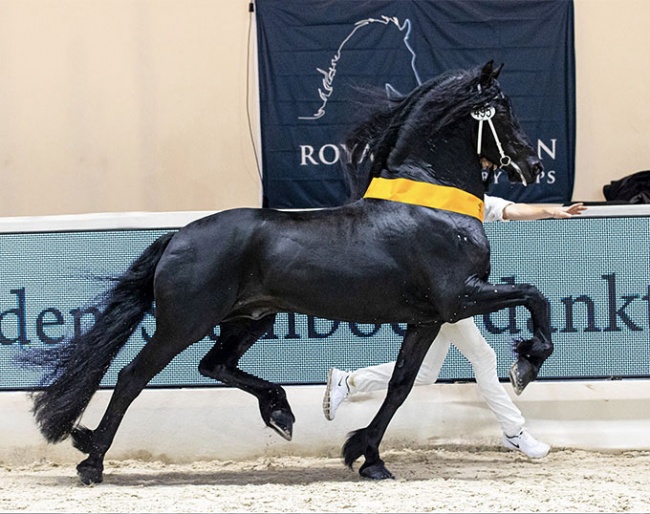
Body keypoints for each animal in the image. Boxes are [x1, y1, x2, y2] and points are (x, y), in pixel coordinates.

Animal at [26, 62, 552, 482]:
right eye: (502, 109)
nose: (532, 165)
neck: (431, 206)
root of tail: (176, 237)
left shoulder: (428, 318)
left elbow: (401, 386)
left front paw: (367, 457)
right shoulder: (460, 297)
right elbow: (534, 294)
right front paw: (525, 365)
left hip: (251, 319)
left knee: (213, 365)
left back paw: (280, 412)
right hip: (184, 324)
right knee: (133, 376)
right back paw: (92, 462)